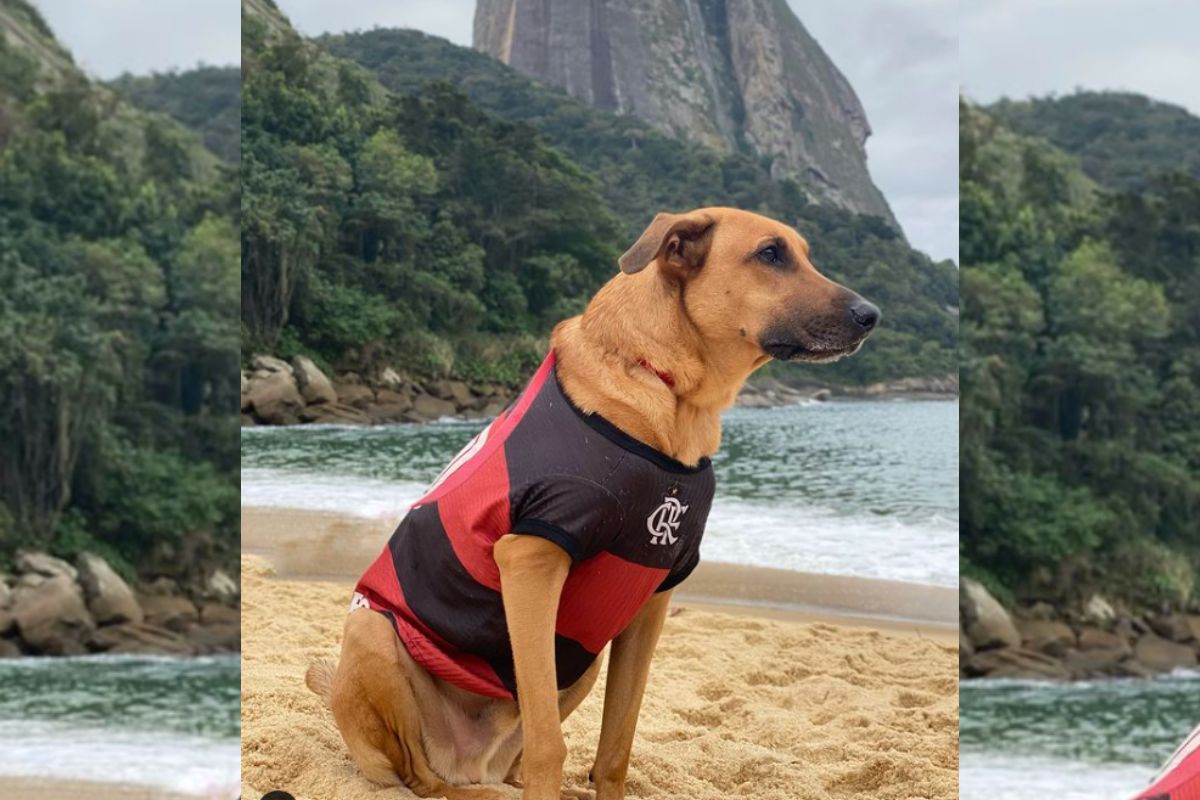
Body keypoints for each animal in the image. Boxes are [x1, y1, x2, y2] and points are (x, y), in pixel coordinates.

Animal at [304, 208, 878, 800]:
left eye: (804, 254)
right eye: (770, 254)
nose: (871, 316)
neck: (669, 394)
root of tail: (469, 762)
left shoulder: (652, 598)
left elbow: (615, 747)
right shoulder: (531, 565)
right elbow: (548, 746)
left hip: (585, 659)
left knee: (498, 766)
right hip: (374, 631)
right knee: (424, 778)